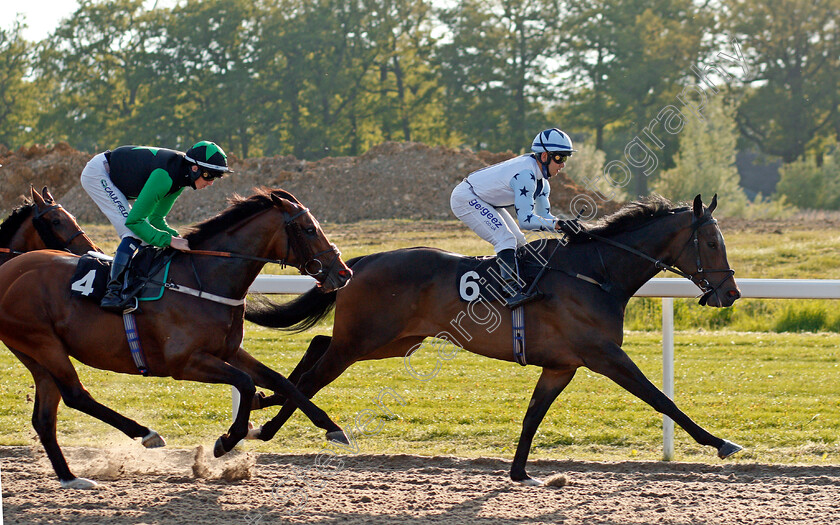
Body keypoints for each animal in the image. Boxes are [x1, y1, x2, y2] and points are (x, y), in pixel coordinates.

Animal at [0, 187, 352, 488]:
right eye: (308, 229)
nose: (344, 273)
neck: (204, 279)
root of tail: (9, 271)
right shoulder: (184, 363)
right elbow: (246, 384)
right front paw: (227, 441)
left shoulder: (229, 352)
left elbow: (280, 381)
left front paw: (333, 428)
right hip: (43, 343)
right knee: (76, 395)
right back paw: (145, 435)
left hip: (36, 354)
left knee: (45, 417)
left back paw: (70, 477)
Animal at [246, 193, 744, 484]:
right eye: (712, 243)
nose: (731, 293)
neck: (595, 273)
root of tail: (360, 263)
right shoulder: (603, 355)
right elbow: (660, 398)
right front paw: (720, 442)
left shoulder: (561, 365)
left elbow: (532, 416)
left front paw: (521, 473)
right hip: (365, 339)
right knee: (317, 374)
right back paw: (280, 425)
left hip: (393, 341)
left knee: (317, 347)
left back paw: (265, 405)